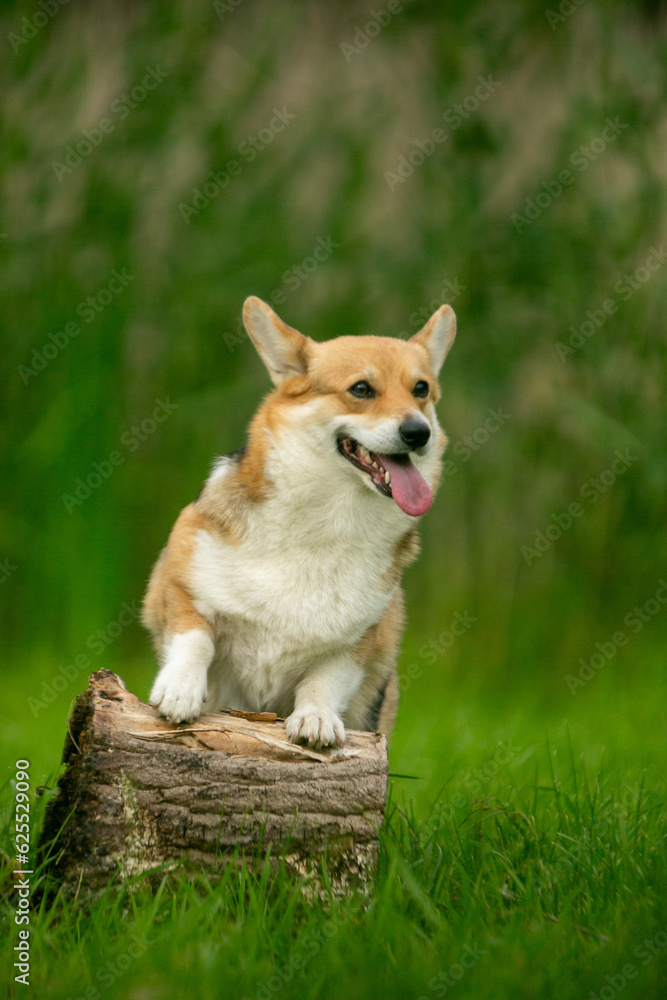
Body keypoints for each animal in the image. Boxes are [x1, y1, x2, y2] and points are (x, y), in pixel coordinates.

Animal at [144, 296, 456, 752]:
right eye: (361, 389)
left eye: (421, 390)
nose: (419, 432)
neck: (324, 522)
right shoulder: (180, 587)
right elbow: (195, 639)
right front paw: (180, 690)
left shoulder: (359, 643)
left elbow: (323, 680)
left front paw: (316, 719)